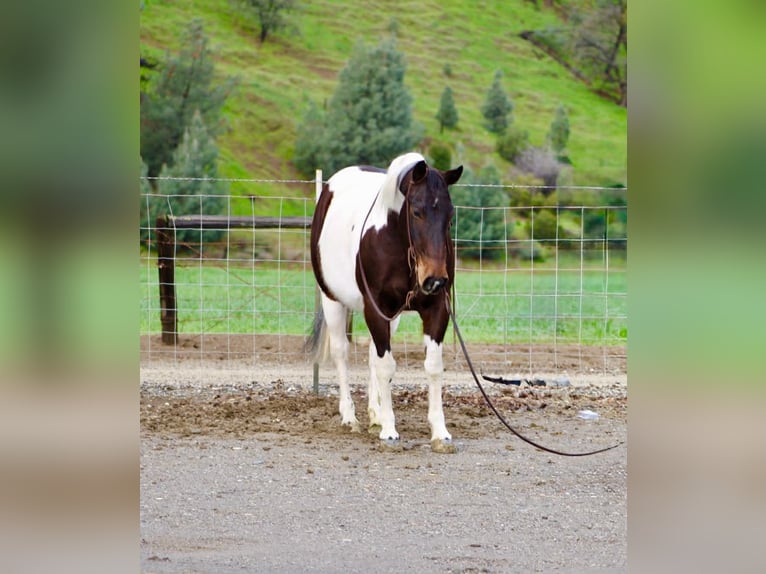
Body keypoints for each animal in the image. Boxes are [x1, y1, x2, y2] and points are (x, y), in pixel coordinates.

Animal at [308, 152, 463, 453]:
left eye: (450, 215)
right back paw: (350, 417)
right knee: (342, 353)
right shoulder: (376, 309)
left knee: (372, 355)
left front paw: (440, 432)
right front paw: (390, 430)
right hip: (332, 301)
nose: (435, 280)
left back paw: (374, 415)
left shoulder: (435, 309)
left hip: (393, 316)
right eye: (417, 211)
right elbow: (385, 366)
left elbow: (432, 366)